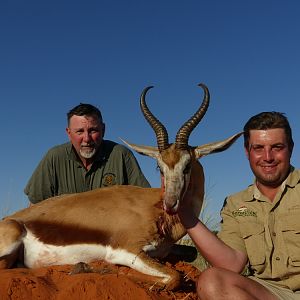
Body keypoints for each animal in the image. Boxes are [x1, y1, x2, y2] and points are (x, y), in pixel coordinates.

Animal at [0, 83, 240, 290]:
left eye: (187, 165)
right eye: (159, 167)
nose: (171, 203)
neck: (156, 211)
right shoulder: (126, 251)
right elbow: (173, 277)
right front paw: (88, 268)